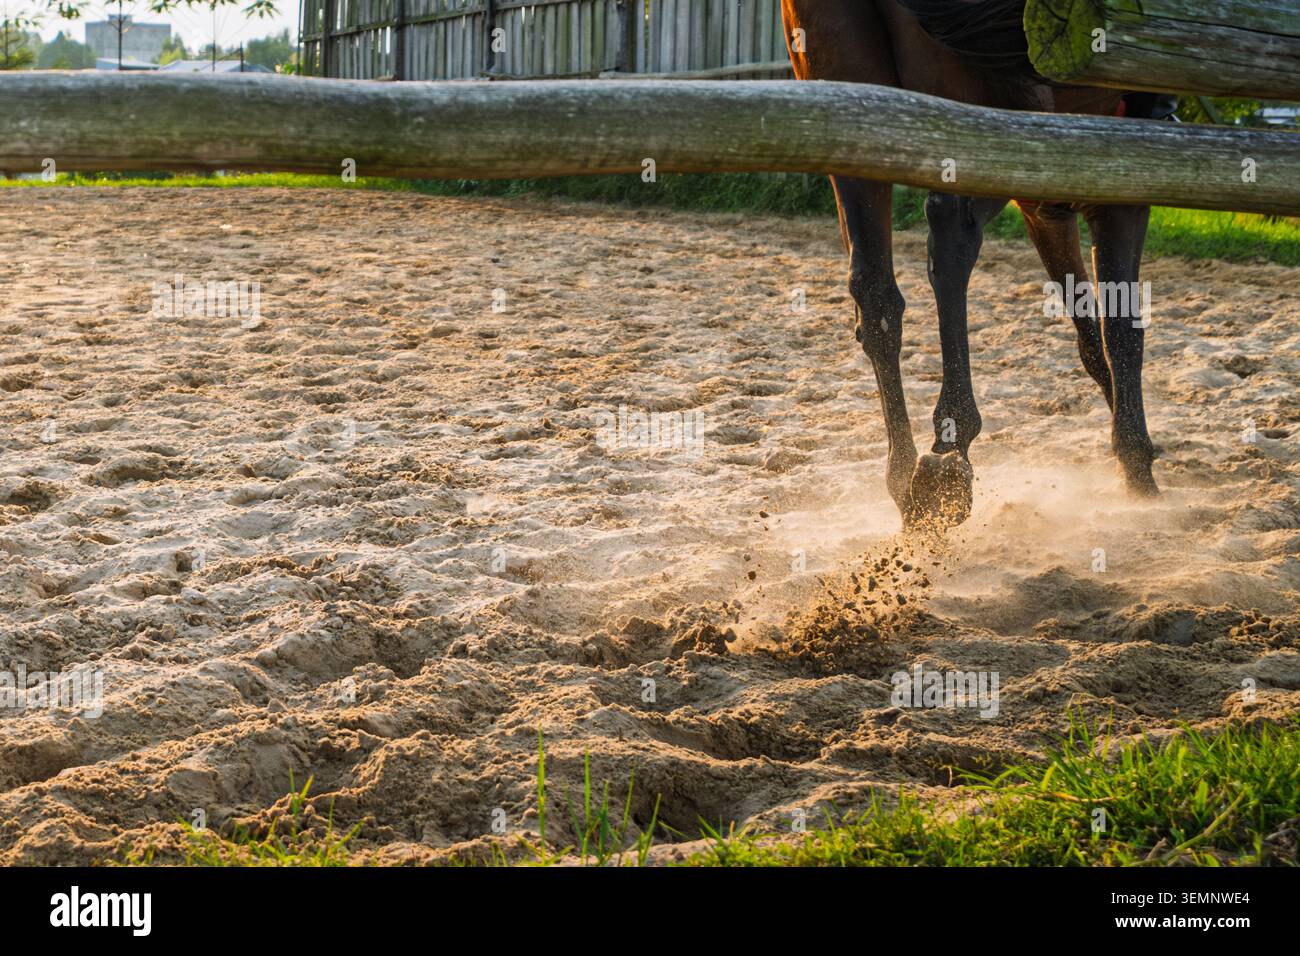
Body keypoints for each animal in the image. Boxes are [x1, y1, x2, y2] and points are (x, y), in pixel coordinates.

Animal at [780, 0, 1170, 528]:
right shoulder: (1117, 190)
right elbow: (1121, 327)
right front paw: (1137, 468)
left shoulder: (1045, 204)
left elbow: (1089, 332)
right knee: (953, 230)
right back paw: (950, 452)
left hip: (851, 97)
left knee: (876, 293)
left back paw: (907, 480)